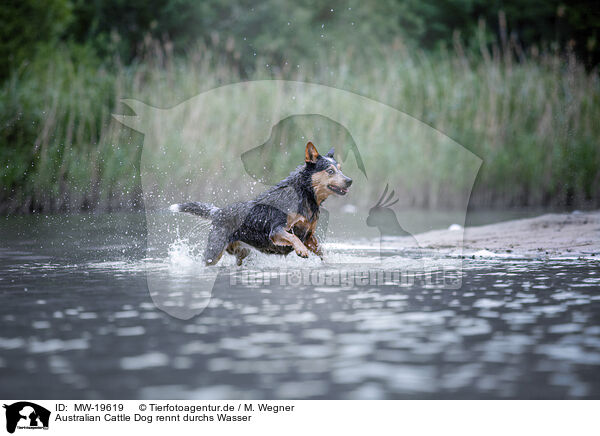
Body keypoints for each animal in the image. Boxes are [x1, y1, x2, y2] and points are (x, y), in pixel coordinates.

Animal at [170, 143, 352, 266]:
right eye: (330, 171)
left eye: (341, 169)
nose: (349, 180)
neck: (306, 196)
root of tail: (218, 211)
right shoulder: (276, 230)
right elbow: (292, 237)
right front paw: (301, 250)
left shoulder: (308, 236)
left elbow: (321, 250)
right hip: (214, 252)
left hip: (242, 253)